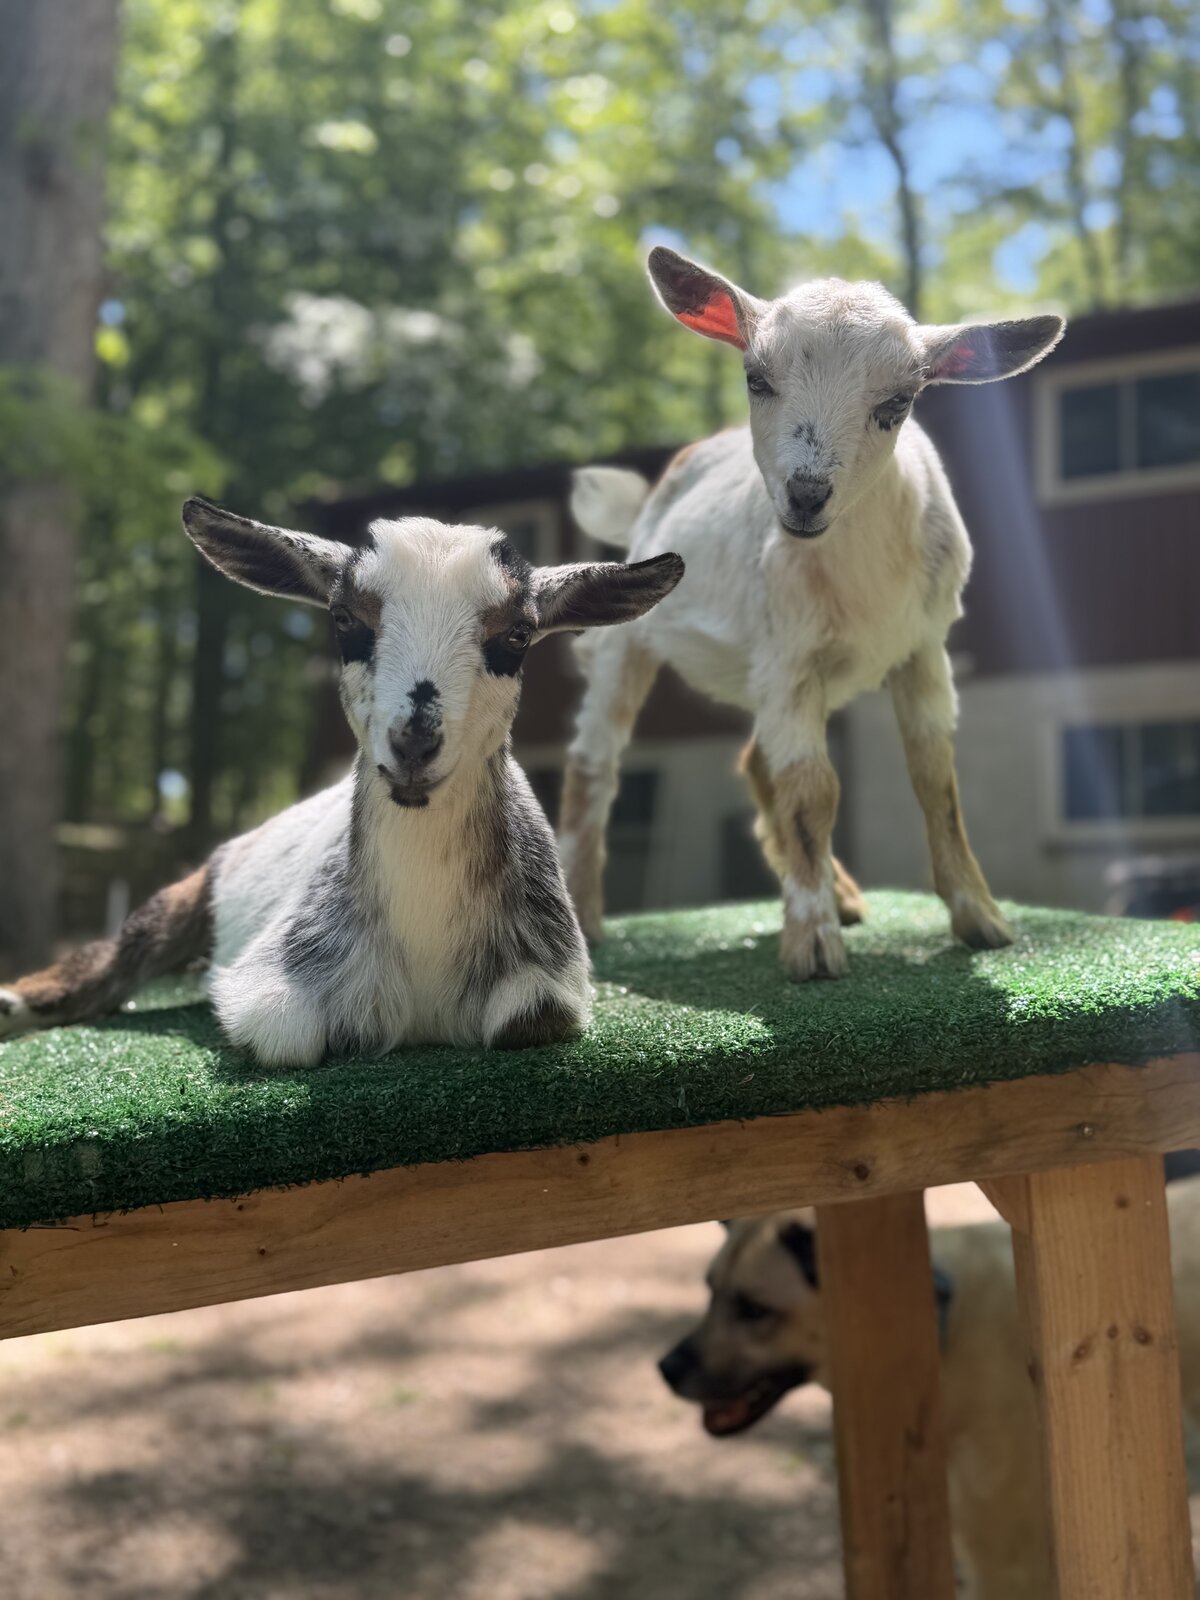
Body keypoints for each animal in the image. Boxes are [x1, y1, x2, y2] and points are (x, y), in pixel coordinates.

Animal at [0, 500, 683, 1065]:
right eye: (344, 619)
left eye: (517, 636)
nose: (413, 742)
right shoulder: (275, 989)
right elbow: (287, 1040)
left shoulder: (548, 988)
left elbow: (528, 1019)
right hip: (191, 893)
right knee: (119, 954)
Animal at [563, 247, 1064, 979]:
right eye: (755, 378)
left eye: (898, 402)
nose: (805, 495)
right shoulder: (791, 655)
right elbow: (814, 788)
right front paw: (813, 946)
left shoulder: (922, 649)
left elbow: (933, 776)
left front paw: (981, 918)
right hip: (633, 644)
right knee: (593, 765)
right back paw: (586, 916)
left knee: (753, 759)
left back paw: (842, 893)